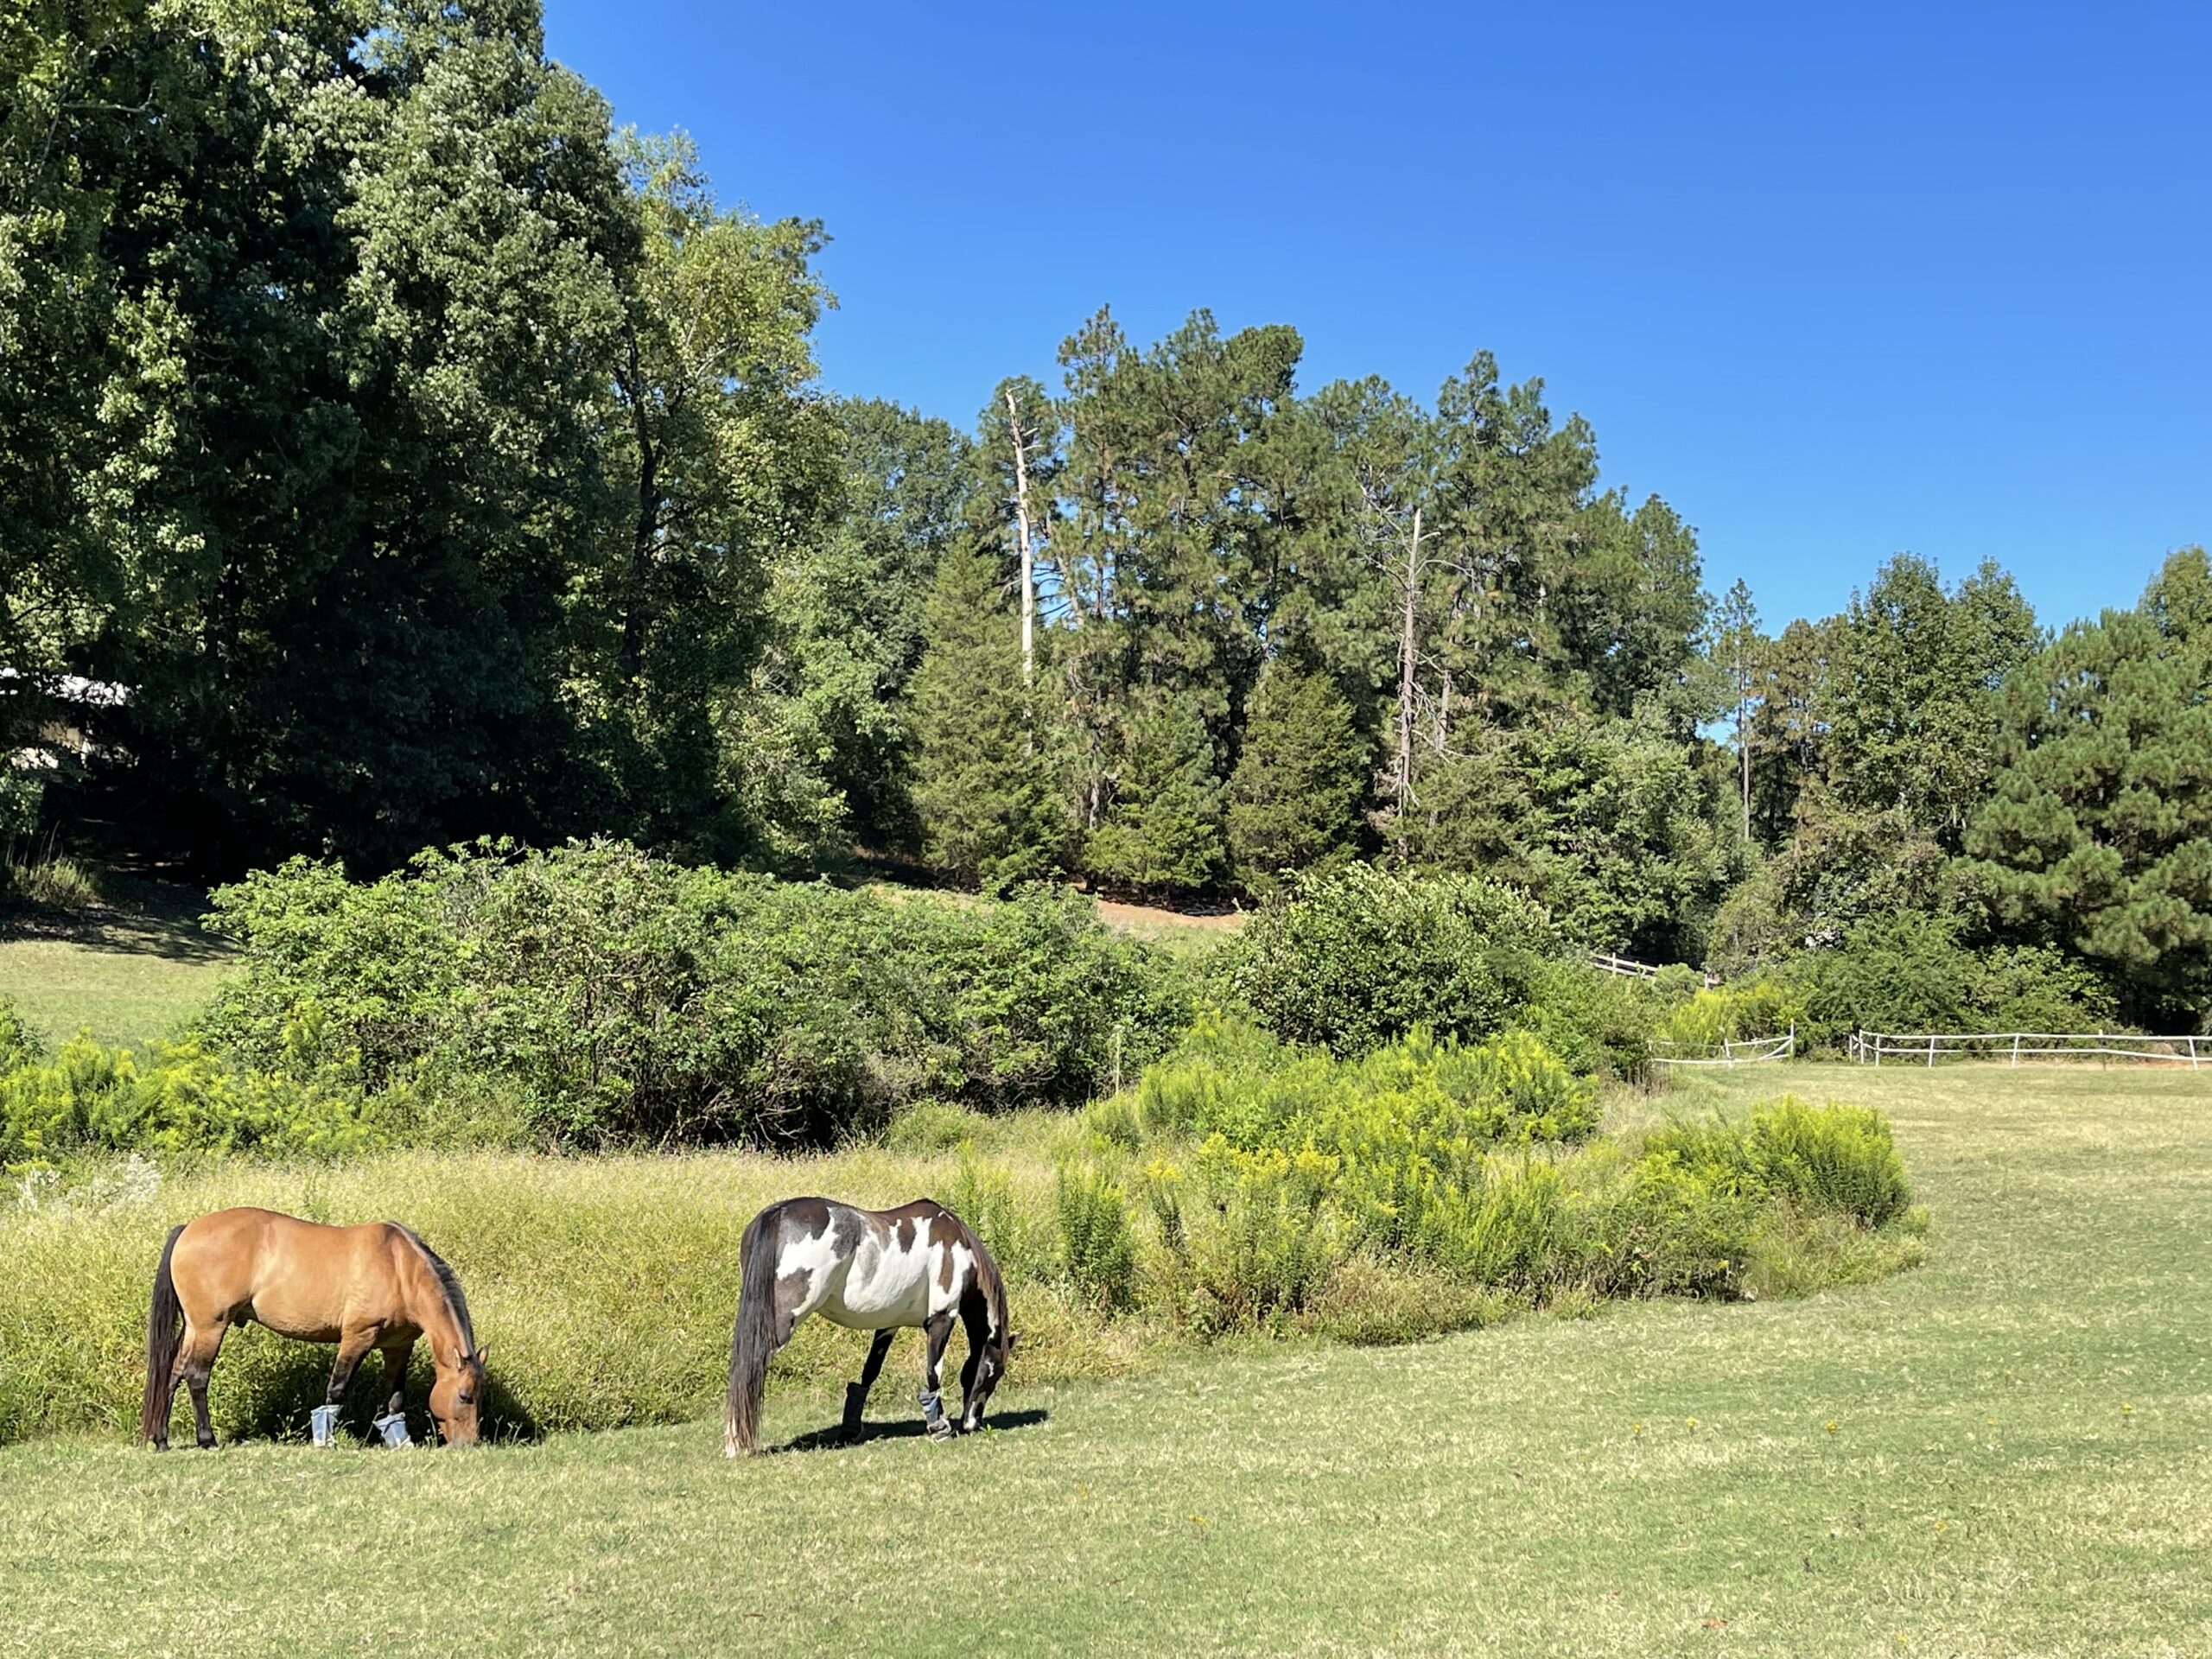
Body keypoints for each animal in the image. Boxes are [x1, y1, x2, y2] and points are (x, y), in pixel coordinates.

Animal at [139, 1211, 488, 1451]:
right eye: (464, 1396)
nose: (469, 1443)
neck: (400, 1268)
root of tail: (188, 1229)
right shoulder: (357, 1337)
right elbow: (337, 1389)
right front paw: (325, 1439)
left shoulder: (398, 1346)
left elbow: (394, 1398)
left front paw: (398, 1440)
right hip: (211, 1326)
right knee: (196, 1376)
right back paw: (207, 1439)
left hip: (193, 1328)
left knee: (173, 1373)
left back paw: (162, 1440)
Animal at [725, 1203, 1017, 1459]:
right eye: (993, 1375)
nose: (972, 1425)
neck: (958, 1249)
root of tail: (778, 1213)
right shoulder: (941, 1319)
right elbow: (933, 1374)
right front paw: (939, 1427)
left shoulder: (888, 1325)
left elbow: (869, 1373)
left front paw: (850, 1429)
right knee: (750, 1370)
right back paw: (737, 1444)